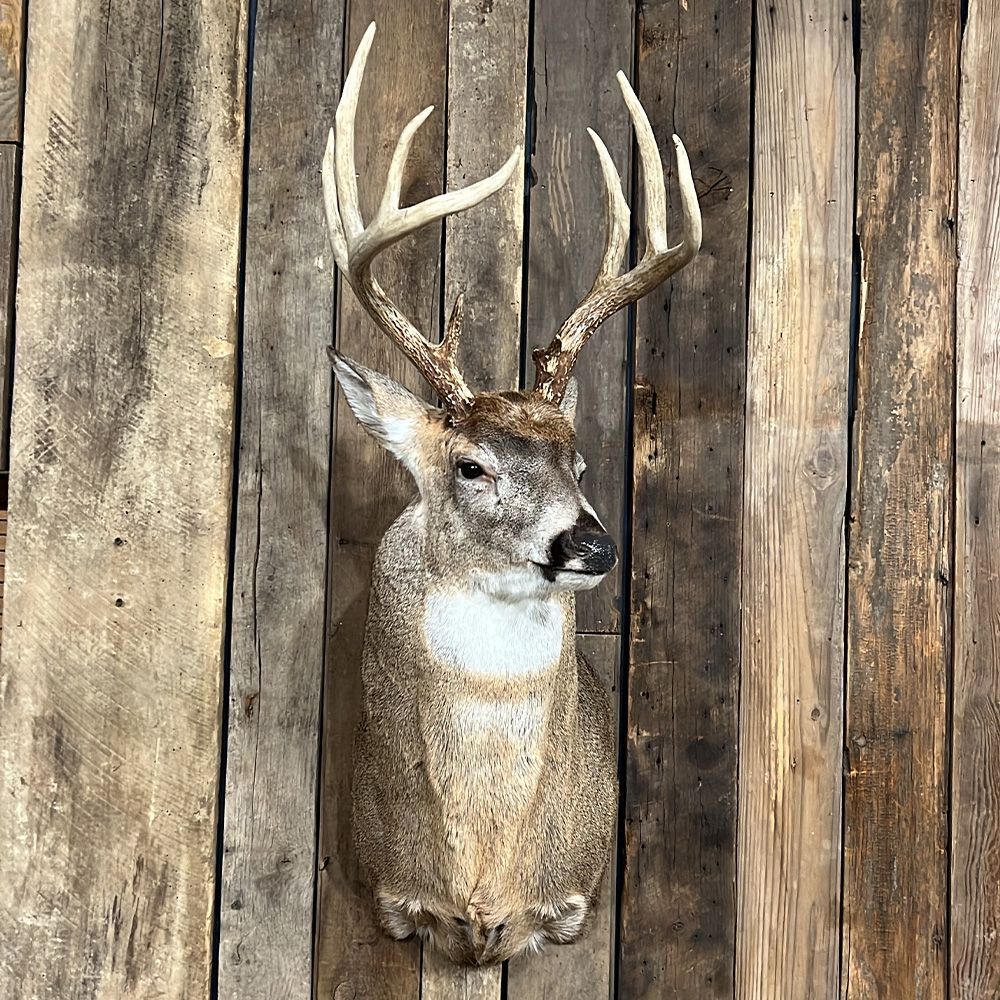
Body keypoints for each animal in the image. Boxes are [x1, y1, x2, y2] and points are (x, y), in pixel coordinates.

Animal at [323, 22, 701, 966]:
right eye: (471, 466)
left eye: (579, 460)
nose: (592, 543)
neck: (484, 879)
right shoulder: (393, 899)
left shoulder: (568, 903)